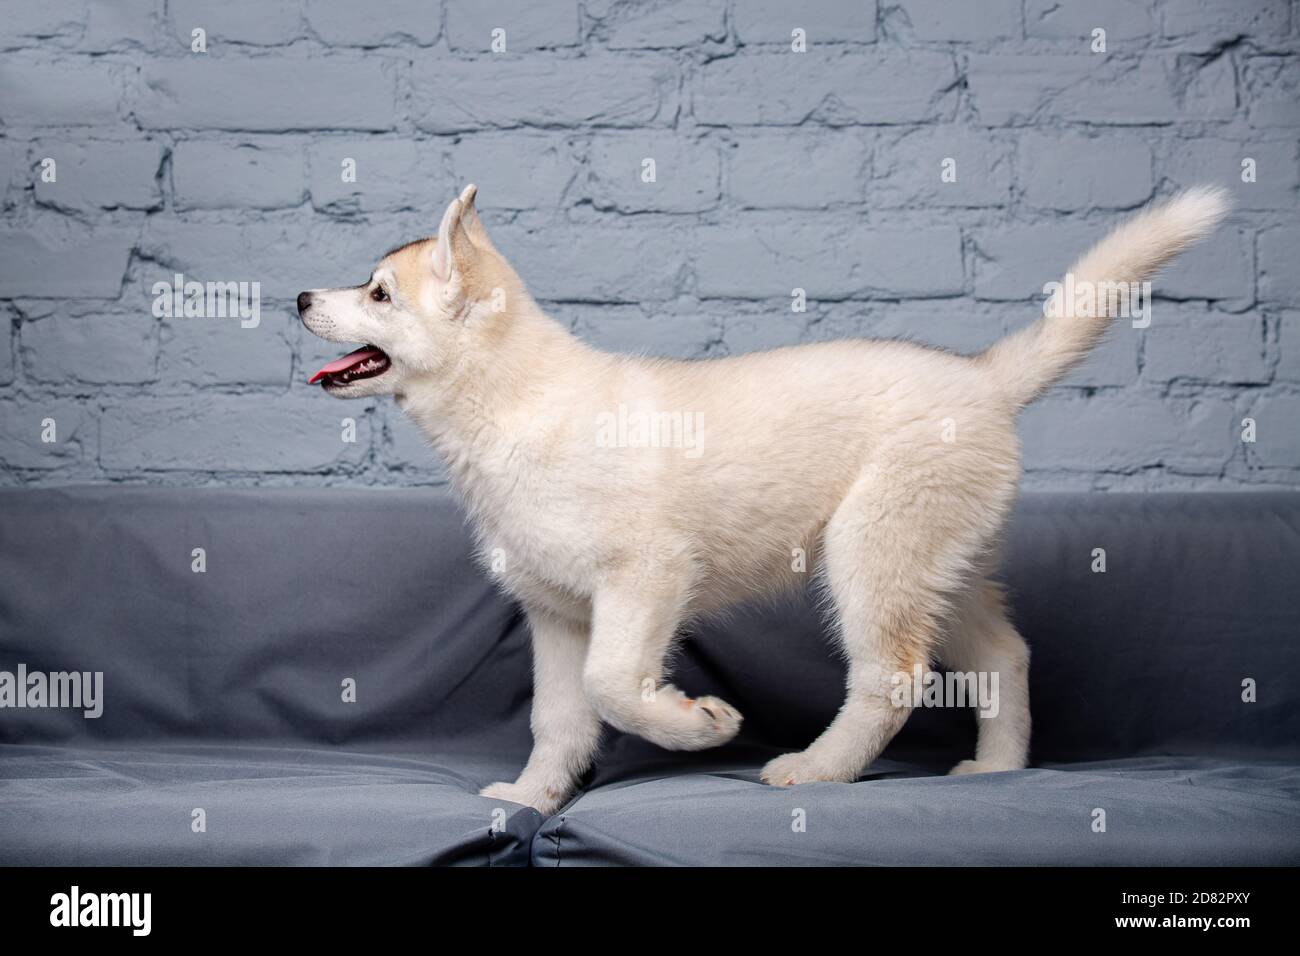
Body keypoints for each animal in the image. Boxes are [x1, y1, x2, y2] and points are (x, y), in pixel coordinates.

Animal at [301, 187, 1227, 816]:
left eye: (379, 293)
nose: (301, 296)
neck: (511, 405)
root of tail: (984, 379)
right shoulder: (556, 613)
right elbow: (559, 720)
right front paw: (530, 800)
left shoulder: (646, 574)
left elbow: (613, 684)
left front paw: (699, 727)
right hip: (938, 564)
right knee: (1005, 654)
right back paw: (999, 771)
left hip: (870, 554)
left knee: (894, 679)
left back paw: (817, 771)